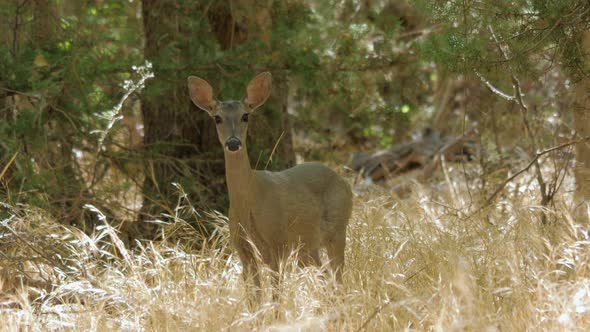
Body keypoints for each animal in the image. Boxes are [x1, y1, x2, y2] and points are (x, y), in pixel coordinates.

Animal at [188, 72, 352, 296]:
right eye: (217, 118)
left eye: (245, 116)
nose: (233, 143)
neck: (248, 203)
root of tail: (344, 182)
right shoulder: (243, 250)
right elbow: (254, 296)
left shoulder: (277, 243)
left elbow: (275, 294)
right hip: (307, 247)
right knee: (325, 276)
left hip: (337, 228)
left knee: (339, 278)